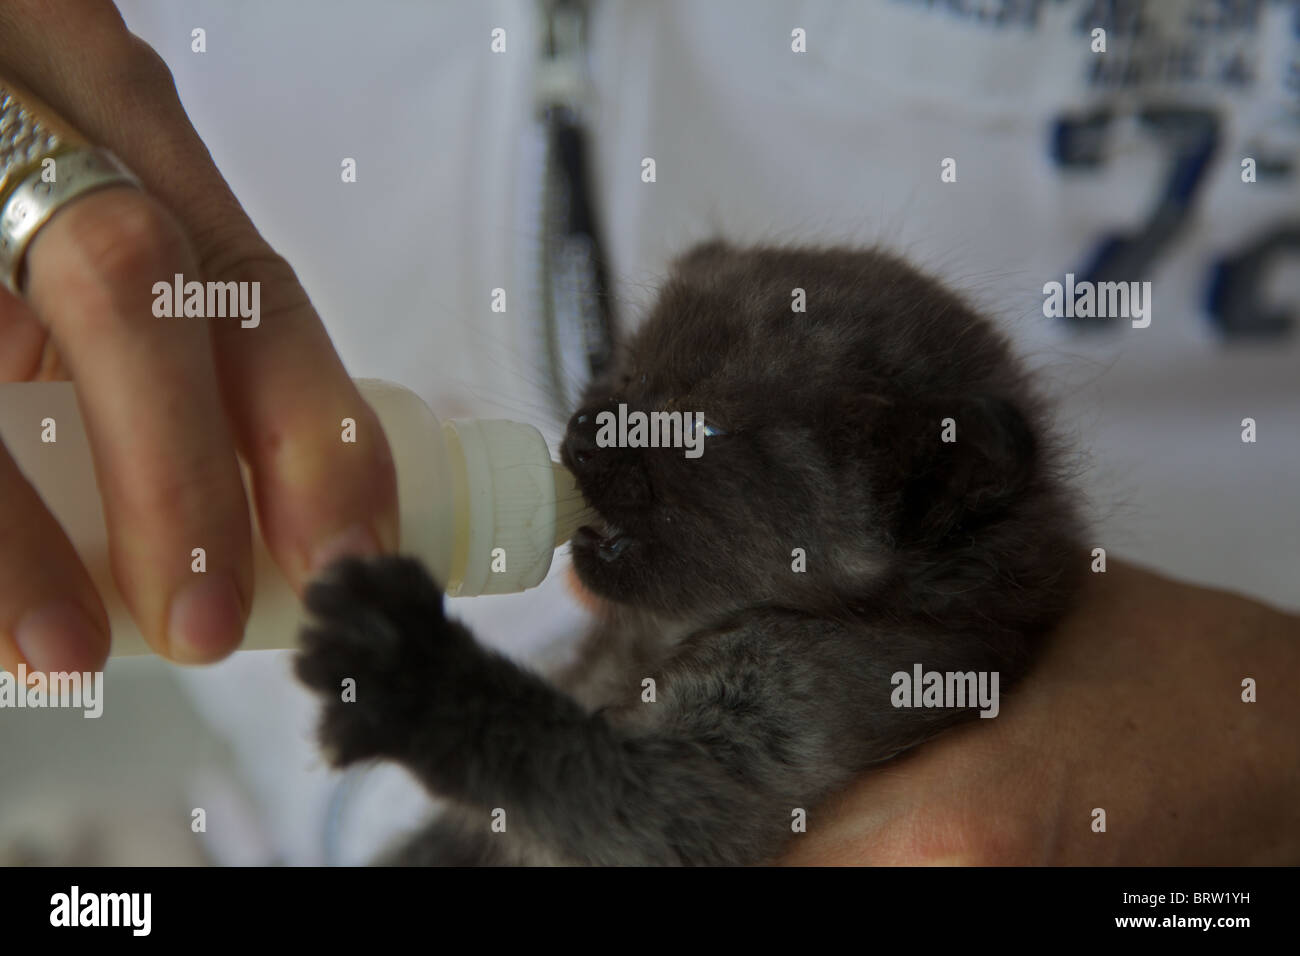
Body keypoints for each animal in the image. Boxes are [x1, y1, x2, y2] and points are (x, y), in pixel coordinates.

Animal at [295, 240, 1086, 868]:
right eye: (629, 375)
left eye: (699, 430)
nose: (584, 430)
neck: (661, 638)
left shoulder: (792, 723)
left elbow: (580, 771)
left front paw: (410, 669)